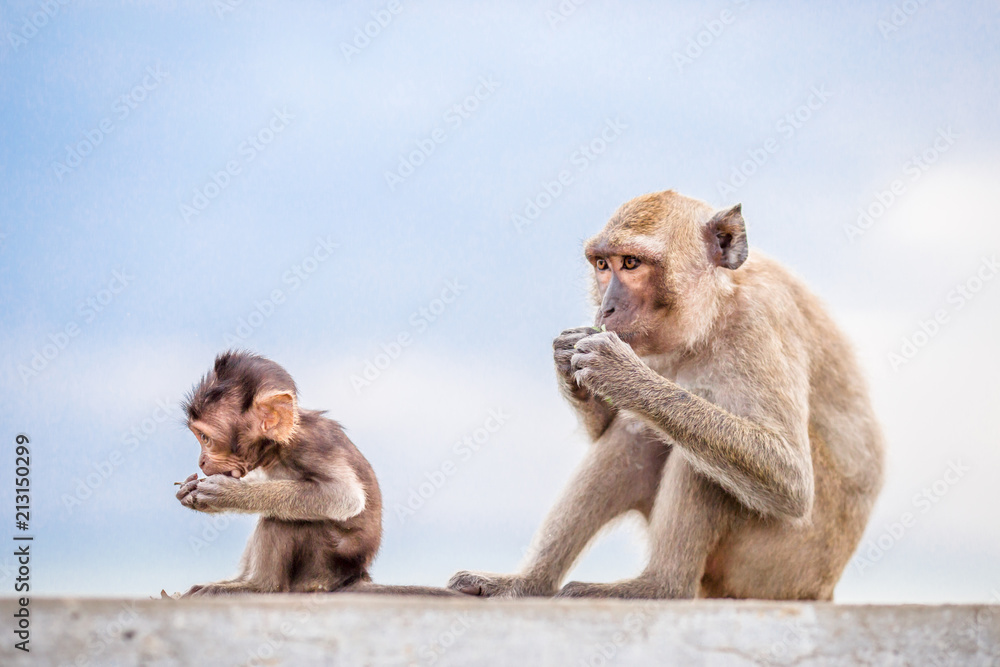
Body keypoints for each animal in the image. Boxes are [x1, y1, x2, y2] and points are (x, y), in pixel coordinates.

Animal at [176, 351, 456, 597]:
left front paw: (230, 493)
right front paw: (191, 492)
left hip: (320, 567)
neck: (280, 446)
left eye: (205, 438)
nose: (201, 460)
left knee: (284, 519)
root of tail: (353, 576)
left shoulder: (311, 446)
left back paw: (258, 587)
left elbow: (344, 496)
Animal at [448, 190, 884, 600]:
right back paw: (527, 583)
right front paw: (568, 357)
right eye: (602, 265)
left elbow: (789, 478)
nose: (606, 308)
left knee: (703, 458)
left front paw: (624, 375)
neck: (716, 308)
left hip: (781, 563)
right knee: (637, 435)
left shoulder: (761, 320)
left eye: (630, 263)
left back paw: (660, 586)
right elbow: (613, 427)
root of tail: (822, 588)